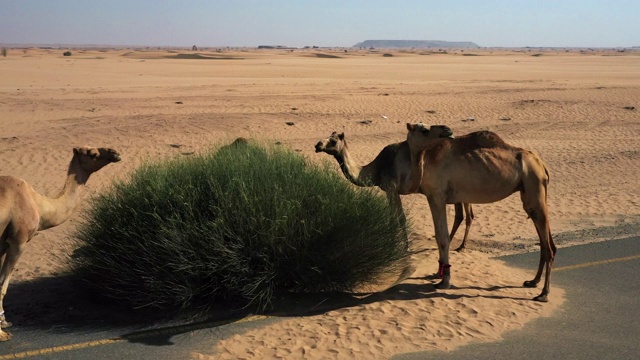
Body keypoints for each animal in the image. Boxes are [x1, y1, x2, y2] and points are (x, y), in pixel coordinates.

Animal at [0, 146, 121, 340]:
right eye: (92, 153)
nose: (115, 153)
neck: (38, 204)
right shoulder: (18, 241)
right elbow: (2, 285)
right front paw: (3, 333)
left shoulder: (3, 245)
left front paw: (4, 323)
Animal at [316, 131, 476, 249]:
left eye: (333, 141)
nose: (318, 145)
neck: (376, 169)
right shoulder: (388, 190)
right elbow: (392, 218)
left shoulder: (392, 188)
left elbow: (400, 218)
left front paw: (404, 247)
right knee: (463, 215)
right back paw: (455, 243)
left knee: (465, 215)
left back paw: (459, 246)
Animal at [404, 124, 556, 300]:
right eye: (421, 129)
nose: (446, 130)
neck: (428, 158)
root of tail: (542, 165)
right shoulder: (436, 197)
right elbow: (439, 236)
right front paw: (437, 274)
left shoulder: (437, 195)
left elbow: (442, 238)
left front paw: (443, 281)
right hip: (530, 191)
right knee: (545, 241)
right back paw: (533, 281)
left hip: (534, 183)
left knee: (548, 244)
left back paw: (543, 294)